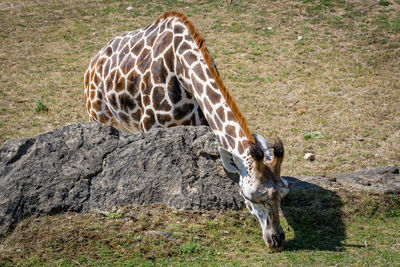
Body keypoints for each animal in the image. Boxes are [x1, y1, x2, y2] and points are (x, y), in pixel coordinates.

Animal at [84, 10, 290, 252]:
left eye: (283, 194)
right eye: (251, 197)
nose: (277, 240)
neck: (180, 67)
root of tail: (92, 63)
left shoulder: (198, 124)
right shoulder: (151, 127)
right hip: (97, 116)